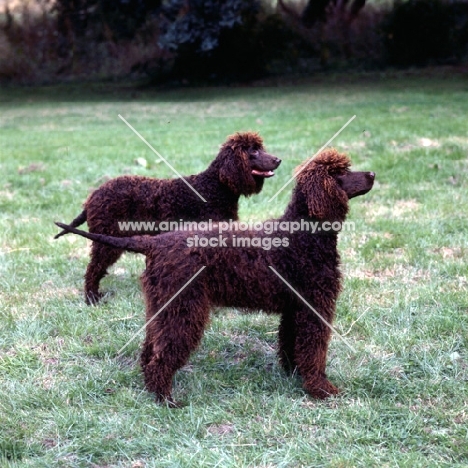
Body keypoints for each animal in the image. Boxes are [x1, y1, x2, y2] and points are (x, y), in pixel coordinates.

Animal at [54, 133, 282, 306]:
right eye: (253, 151)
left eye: (260, 148)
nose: (278, 160)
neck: (214, 187)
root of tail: (92, 198)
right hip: (106, 238)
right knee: (93, 270)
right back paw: (92, 298)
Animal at [56, 150, 374, 406]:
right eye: (340, 174)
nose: (372, 174)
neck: (304, 235)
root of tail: (155, 242)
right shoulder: (314, 307)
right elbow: (314, 351)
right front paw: (322, 389)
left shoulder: (295, 308)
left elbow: (291, 346)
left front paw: (294, 375)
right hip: (184, 308)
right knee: (162, 356)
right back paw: (166, 400)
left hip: (162, 304)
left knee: (150, 349)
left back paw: (151, 388)